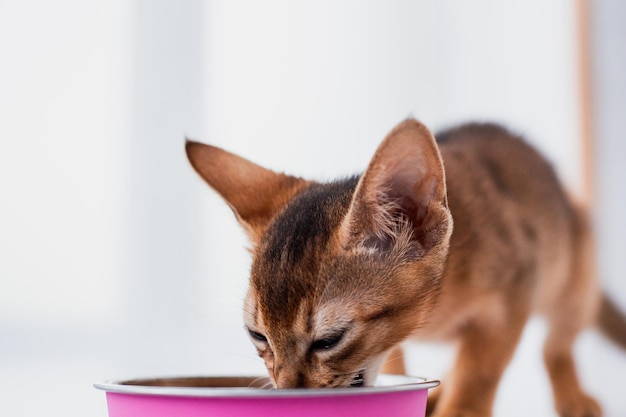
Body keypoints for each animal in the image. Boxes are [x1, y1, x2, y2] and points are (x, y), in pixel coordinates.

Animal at [185, 118, 624, 416]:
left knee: (556, 346)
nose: (291, 394)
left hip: (574, 284)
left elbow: (479, 374)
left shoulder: (515, 294)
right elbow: (400, 356)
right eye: (257, 335)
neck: (433, 312)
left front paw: (460, 407)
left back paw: (571, 396)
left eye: (329, 340)